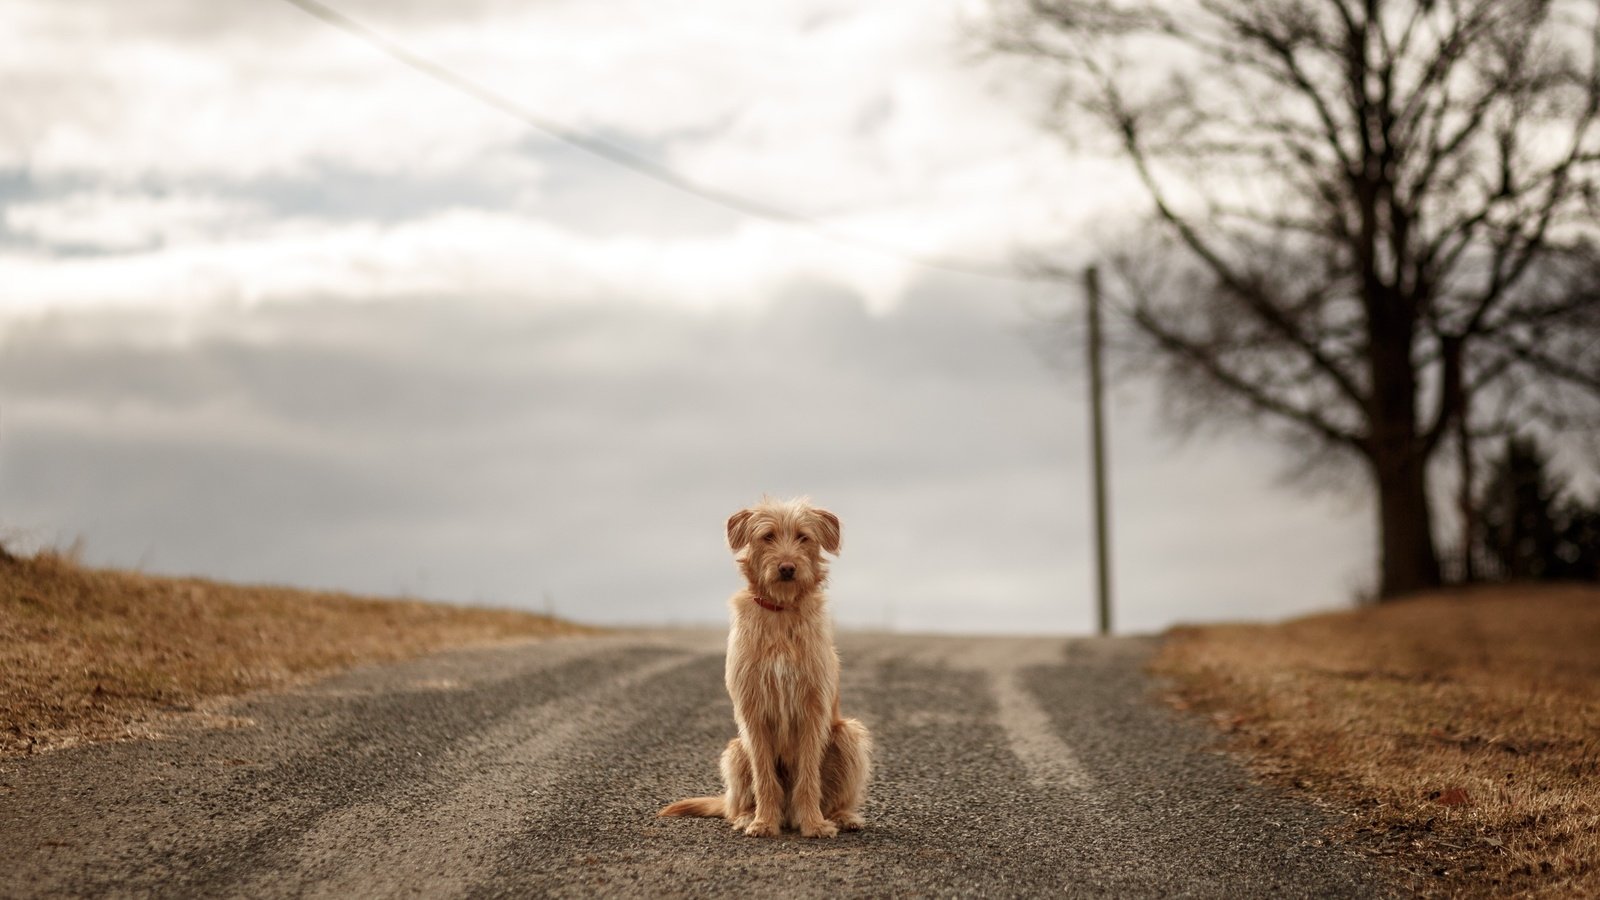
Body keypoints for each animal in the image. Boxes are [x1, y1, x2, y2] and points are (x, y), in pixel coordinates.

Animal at [656, 496, 870, 832]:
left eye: (803, 537)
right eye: (767, 536)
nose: (787, 568)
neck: (780, 610)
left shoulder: (814, 707)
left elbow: (808, 775)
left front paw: (814, 824)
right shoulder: (752, 708)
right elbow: (764, 776)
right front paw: (764, 822)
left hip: (849, 735)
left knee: (837, 797)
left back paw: (842, 817)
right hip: (735, 751)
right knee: (735, 803)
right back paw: (748, 815)